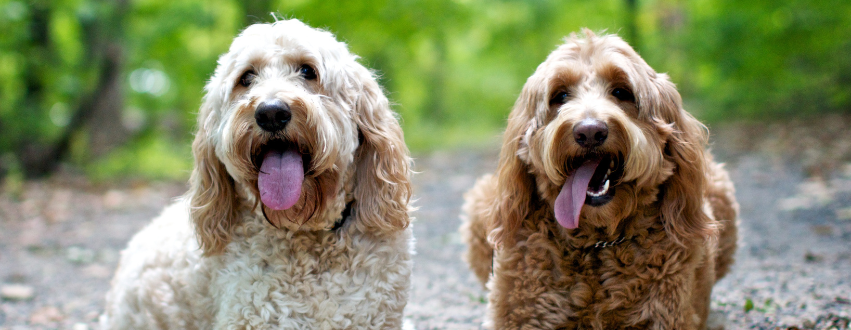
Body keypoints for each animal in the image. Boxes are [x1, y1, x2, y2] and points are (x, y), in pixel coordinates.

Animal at [460, 30, 740, 328]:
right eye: (560, 95)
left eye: (621, 92)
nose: (590, 132)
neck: (596, 242)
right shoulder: (521, 312)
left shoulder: (665, 314)